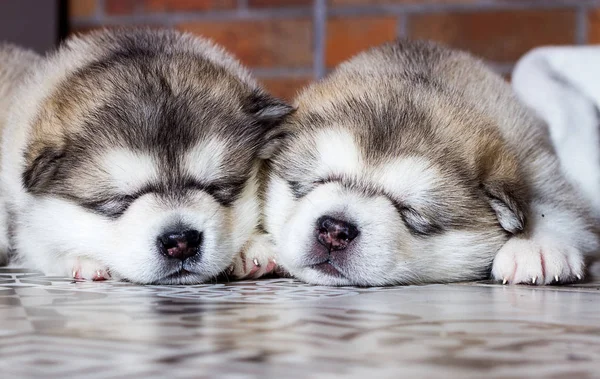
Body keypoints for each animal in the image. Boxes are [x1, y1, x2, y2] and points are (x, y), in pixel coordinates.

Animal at [0, 28, 290, 284]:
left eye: (218, 187)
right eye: (120, 199)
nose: (180, 241)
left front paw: (251, 247)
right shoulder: (24, 220)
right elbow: (40, 244)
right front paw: (80, 258)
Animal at [236, 40, 600, 286]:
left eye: (410, 212)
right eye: (314, 182)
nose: (335, 230)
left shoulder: (537, 161)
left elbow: (557, 205)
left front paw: (535, 246)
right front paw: (251, 244)